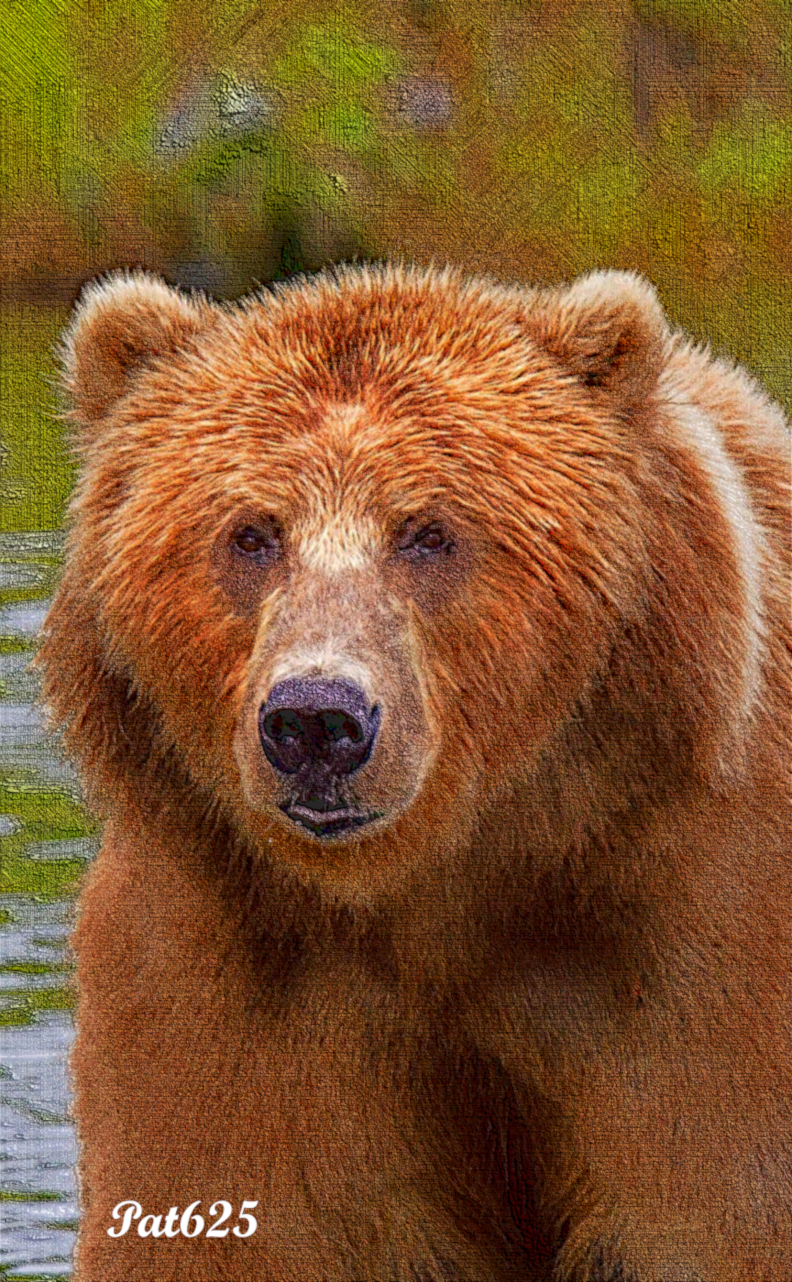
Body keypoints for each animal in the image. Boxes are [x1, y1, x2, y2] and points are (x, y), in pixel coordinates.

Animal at [40, 262, 790, 1282]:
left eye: (429, 531)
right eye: (251, 533)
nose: (317, 721)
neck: (445, 886)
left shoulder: (696, 947)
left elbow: (720, 1208)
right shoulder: (231, 979)